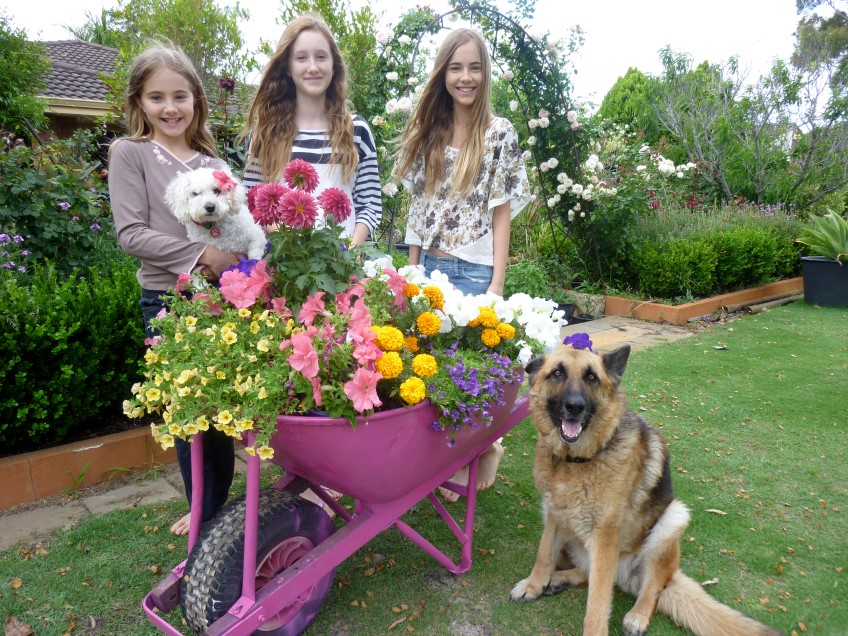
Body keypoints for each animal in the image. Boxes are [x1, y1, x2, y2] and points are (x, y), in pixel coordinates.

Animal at [510, 342, 780, 636]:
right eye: (557, 374)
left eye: (591, 378)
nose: (575, 406)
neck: (581, 459)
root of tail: (626, 575)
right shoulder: (554, 513)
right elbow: (544, 553)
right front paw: (534, 584)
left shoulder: (605, 536)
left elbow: (598, 601)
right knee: (588, 572)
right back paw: (558, 579)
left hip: (672, 520)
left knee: (652, 585)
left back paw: (637, 615)